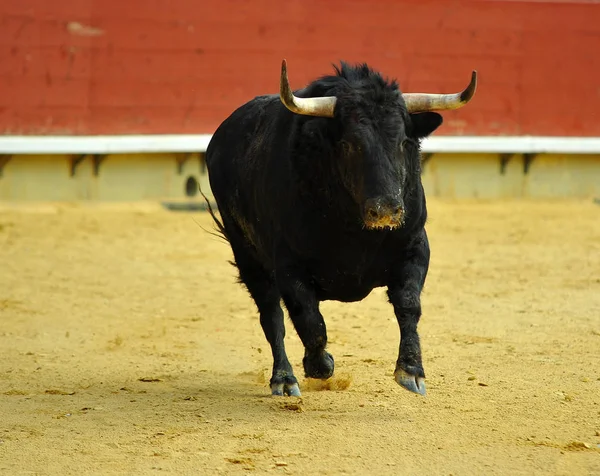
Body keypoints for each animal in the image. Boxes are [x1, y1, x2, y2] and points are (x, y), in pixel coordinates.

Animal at [204, 60, 476, 398]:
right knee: (272, 315)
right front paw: (320, 366)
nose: (386, 209)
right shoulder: (288, 265)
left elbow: (409, 305)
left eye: (404, 142)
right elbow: (309, 320)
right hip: (246, 254)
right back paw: (284, 379)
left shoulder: (414, 247)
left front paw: (411, 371)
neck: (355, 232)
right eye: (349, 144)